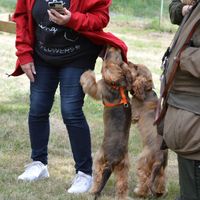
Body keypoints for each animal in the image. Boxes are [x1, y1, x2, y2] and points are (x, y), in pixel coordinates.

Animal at [79, 46, 133, 199]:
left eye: (108, 54)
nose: (110, 45)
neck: (117, 85)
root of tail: (113, 160)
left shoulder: (99, 88)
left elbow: (90, 83)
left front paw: (88, 73)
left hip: (99, 158)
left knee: (97, 178)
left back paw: (92, 190)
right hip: (124, 167)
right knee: (122, 186)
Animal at [129, 63, 168, 198]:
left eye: (135, 67)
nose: (128, 62)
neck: (146, 92)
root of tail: (160, 157)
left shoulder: (133, 114)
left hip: (143, 160)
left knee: (145, 179)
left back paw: (139, 192)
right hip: (161, 168)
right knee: (161, 178)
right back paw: (160, 192)